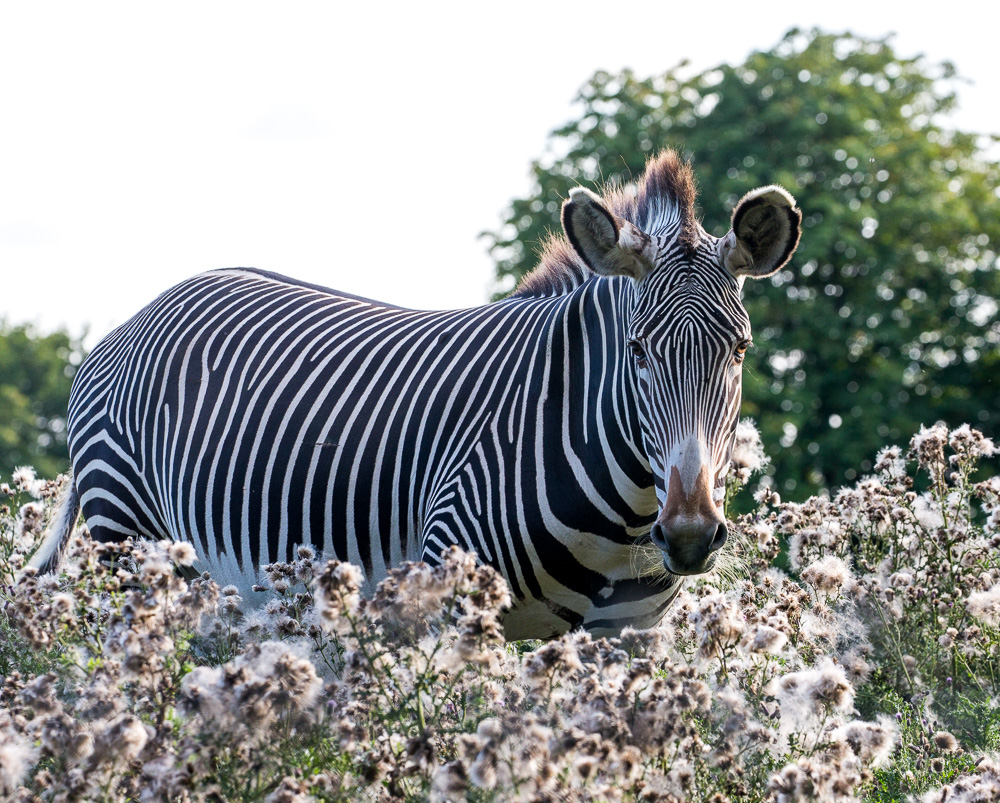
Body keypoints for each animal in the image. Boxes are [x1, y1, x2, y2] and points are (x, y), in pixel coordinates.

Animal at [30, 150, 800, 639]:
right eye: (637, 351)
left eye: (739, 350)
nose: (690, 535)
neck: (628, 513)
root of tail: (142, 311)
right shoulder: (456, 598)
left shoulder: (627, 632)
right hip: (131, 542)